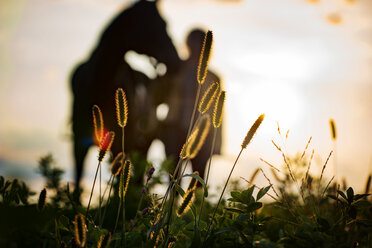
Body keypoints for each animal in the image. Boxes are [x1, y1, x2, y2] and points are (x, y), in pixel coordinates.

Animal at [70, 0, 181, 189]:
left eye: (165, 24)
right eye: (156, 24)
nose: (177, 61)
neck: (99, 85)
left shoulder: (121, 144)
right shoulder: (79, 144)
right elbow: (77, 182)